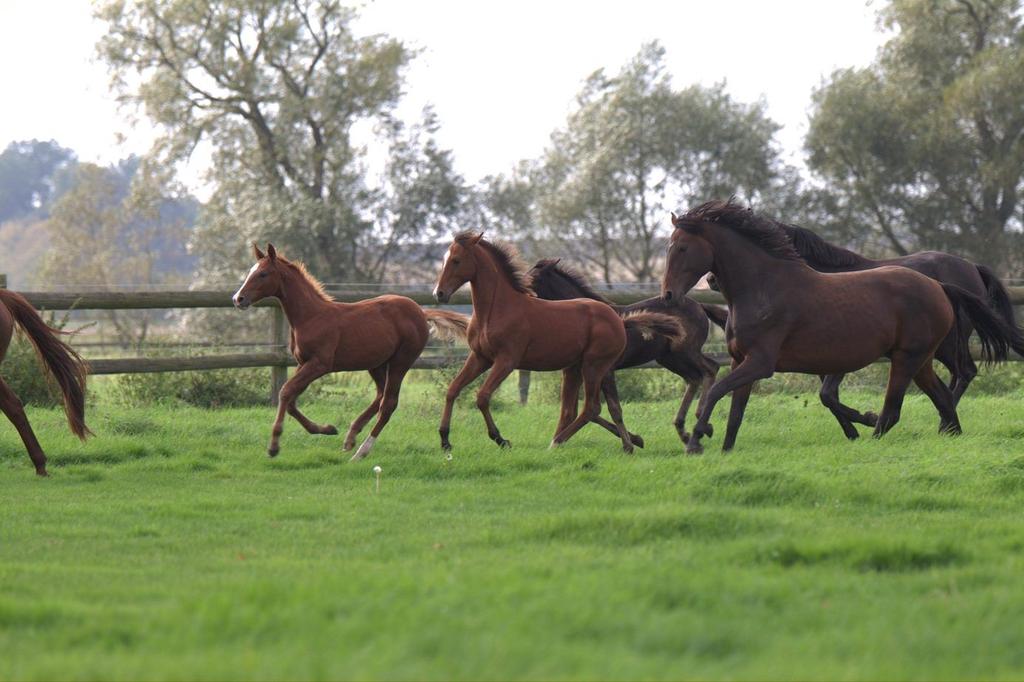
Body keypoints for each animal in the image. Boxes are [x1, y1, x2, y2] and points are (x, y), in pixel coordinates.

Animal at [232, 241, 468, 458]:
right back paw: (351, 436)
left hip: (401, 361)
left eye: (262, 274)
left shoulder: (319, 364)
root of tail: (420, 311)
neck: (311, 316)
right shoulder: (303, 363)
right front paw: (327, 429)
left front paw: (273, 446)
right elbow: (290, 400)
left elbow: (285, 392)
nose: (238, 299)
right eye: (251, 272)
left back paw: (362, 451)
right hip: (377, 364)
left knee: (389, 402)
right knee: (380, 395)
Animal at [432, 232, 679, 450]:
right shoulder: (480, 357)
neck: (496, 309)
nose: (439, 293)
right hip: (578, 368)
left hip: (594, 366)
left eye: (456, 260)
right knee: (580, 409)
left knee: (591, 408)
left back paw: (557, 443)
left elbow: (482, 397)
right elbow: (453, 389)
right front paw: (444, 440)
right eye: (444, 260)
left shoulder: (507, 360)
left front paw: (500, 439)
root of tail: (620, 320)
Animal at [528, 258, 729, 448]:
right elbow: (591, 411)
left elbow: (611, 409)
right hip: (669, 358)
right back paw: (685, 430)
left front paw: (629, 444)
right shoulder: (582, 370)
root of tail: (700, 305)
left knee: (710, 368)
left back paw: (702, 420)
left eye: (534, 278)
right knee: (693, 378)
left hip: (685, 351)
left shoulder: (605, 371)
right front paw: (636, 439)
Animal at [659, 199, 1019, 454]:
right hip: (922, 358)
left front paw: (696, 438)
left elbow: (717, 392)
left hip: (912, 357)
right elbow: (736, 410)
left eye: (682, 247)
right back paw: (946, 431)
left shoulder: (763, 363)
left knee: (906, 404)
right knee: (945, 393)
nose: (668, 295)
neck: (766, 287)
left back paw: (888, 433)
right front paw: (722, 446)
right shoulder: (741, 361)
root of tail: (941, 285)